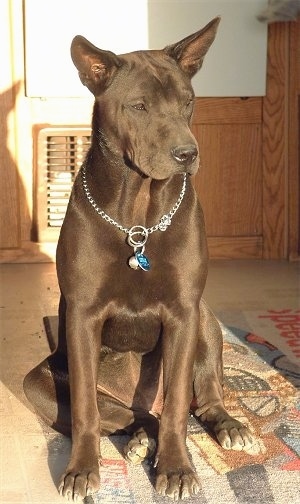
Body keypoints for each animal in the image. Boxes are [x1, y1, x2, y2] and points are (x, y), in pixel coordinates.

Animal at [24, 17, 256, 502]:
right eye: (139, 106)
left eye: (188, 102)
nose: (188, 155)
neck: (138, 216)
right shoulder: (82, 316)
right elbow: (87, 410)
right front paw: (81, 470)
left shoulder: (183, 311)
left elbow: (179, 409)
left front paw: (177, 468)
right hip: (39, 382)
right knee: (126, 413)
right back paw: (138, 438)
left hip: (205, 318)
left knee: (199, 399)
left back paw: (227, 425)